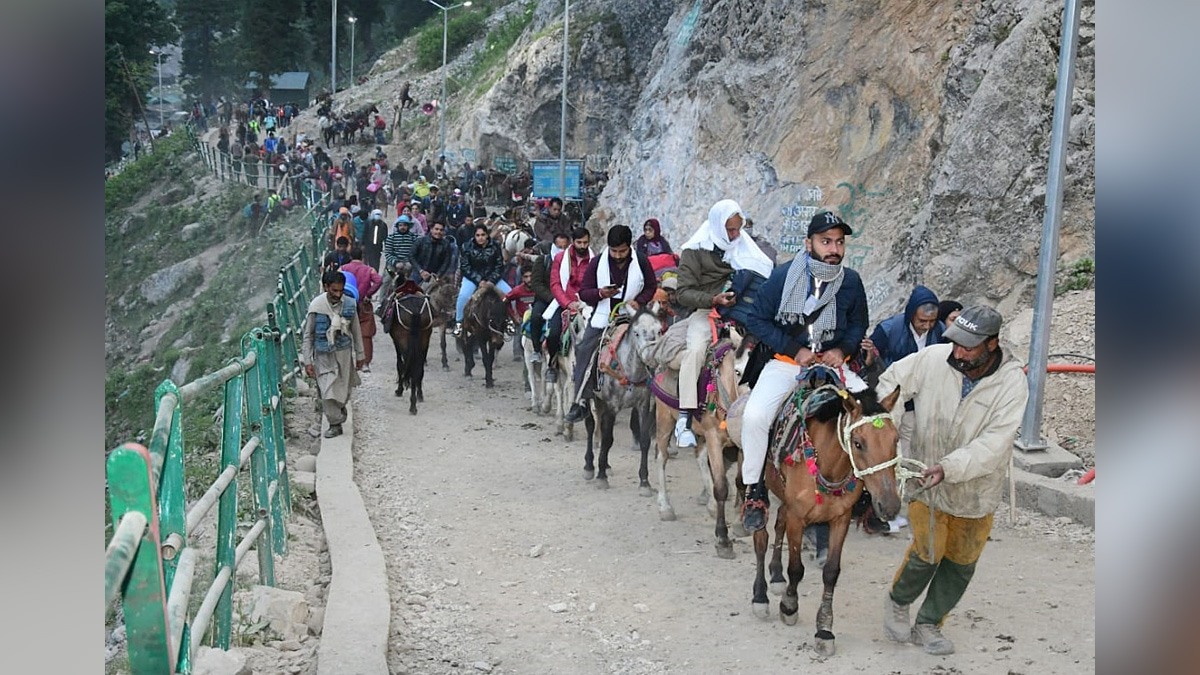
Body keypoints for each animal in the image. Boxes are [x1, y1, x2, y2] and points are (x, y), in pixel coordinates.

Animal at [720, 365, 902, 653]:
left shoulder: (841, 518)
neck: (827, 464)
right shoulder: (799, 517)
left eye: (895, 440)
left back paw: (776, 576)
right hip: (755, 481)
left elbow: (831, 572)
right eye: (858, 443)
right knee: (761, 537)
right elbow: (796, 568)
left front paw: (824, 629)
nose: (890, 505)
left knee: (779, 522)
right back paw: (761, 596)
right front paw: (789, 606)